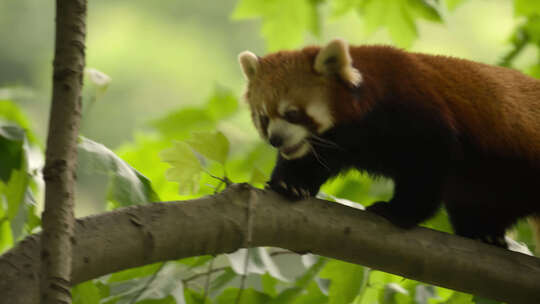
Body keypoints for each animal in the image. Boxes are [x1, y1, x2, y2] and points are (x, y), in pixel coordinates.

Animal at [238, 39, 540, 251]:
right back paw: (484, 232)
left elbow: (428, 166)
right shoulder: (331, 143)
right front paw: (290, 184)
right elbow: (307, 160)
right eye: (263, 117)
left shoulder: (415, 110)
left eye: (292, 113)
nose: (275, 139)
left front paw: (397, 211)